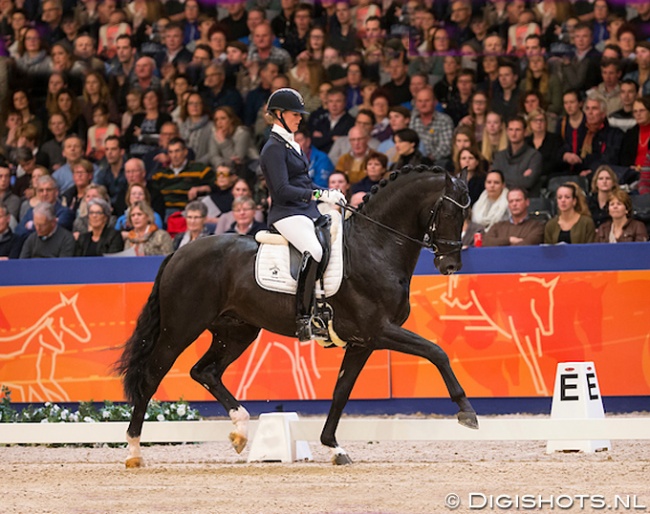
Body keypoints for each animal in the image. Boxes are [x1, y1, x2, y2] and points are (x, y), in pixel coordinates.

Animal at [117, 164, 476, 464]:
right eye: (448, 211)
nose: (450, 265)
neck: (375, 247)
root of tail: (178, 253)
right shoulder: (379, 330)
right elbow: (437, 352)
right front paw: (467, 412)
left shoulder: (362, 342)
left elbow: (341, 392)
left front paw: (334, 447)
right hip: (180, 329)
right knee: (152, 378)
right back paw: (134, 451)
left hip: (236, 331)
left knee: (205, 372)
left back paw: (240, 430)